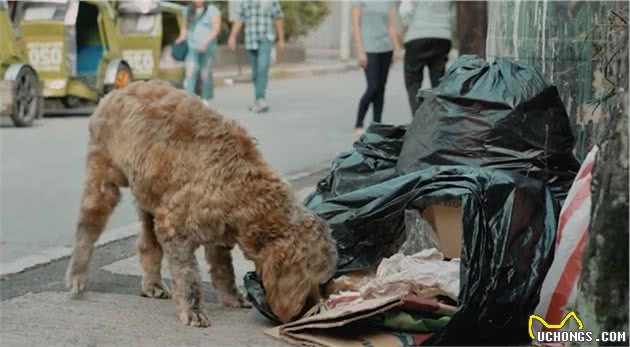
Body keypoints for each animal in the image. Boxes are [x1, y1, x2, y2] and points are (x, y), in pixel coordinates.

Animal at [66, 80, 338, 328]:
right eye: (312, 279)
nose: (313, 310)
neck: (243, 186)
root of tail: (117, 90)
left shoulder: (217, 232)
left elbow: (224, 269)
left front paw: (231, 297)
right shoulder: (174, 226)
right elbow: (189, 276)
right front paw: (193, 309)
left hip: (148, 194)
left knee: (147, 243)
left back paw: (152, 283)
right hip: (103, 179)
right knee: (87, 228)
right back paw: (77, 272)